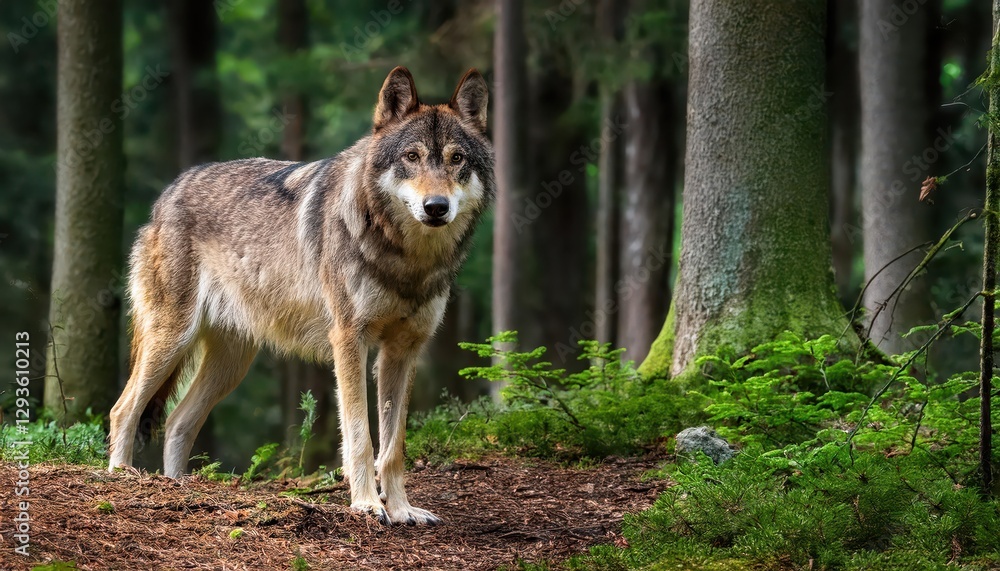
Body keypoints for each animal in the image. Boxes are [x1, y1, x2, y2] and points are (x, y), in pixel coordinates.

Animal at [107, 67, 494, 525]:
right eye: (412, 157)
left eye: (457, 159)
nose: (436, 207)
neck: (405, 259)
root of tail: (168, 193)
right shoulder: (349, 340)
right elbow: (361, 436)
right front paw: (366, 505)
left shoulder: (403, 350)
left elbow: (394, 447)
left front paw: (400, 510)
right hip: (171, 340)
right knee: (123, 409)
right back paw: (121, 477)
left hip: (230, 363)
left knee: (179, 421)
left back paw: (177, 487)